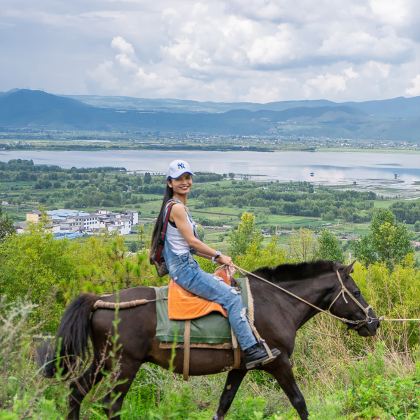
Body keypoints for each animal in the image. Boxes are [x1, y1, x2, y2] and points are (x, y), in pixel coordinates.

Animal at [40, 260, 380, 418]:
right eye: (356, 290)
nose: (373, 322)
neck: (277, 302)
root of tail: (102, 300)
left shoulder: (240, 367)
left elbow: (223, 404)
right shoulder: (279, 362)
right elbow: (299, 403)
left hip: (104, 362)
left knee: (76, 391)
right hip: (125, 365)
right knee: (111, 404)